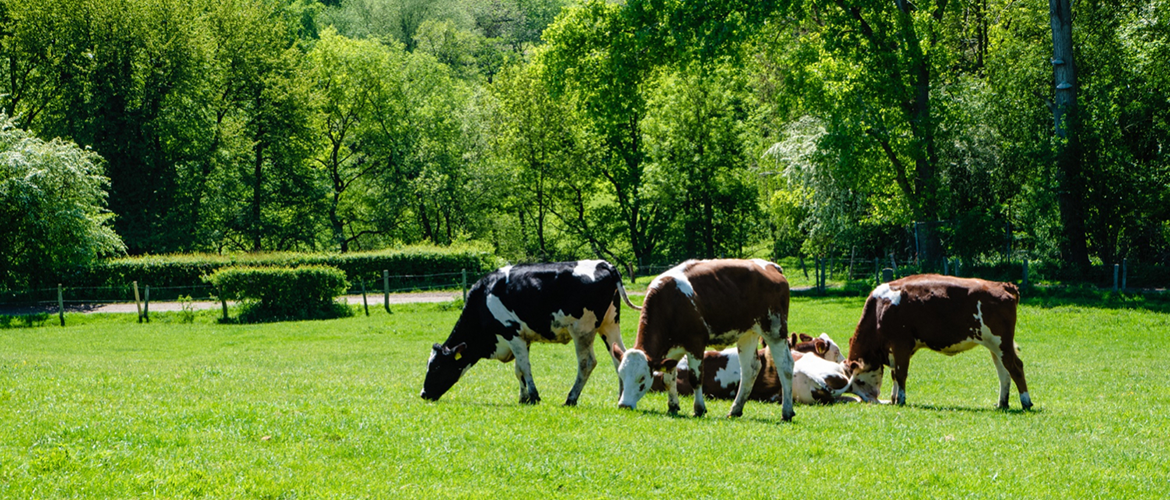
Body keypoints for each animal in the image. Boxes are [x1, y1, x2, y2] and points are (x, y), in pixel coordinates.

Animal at [420, 260, 640, 406]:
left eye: (437, 366)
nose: (423, 393)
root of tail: (604, 264)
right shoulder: (522, 339)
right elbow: (518, 370)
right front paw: (523, 397)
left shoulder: (511, 333)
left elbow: (525, 367)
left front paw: (534, 396)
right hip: (609, 325)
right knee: (619, 356)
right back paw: (620, 396)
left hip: (582, 330)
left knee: (587, 364)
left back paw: (571, 398)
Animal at [611, 259, 795, 421]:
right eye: (621, 375)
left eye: (642, 379)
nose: (624, 405)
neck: (671, 302)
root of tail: (770, 266)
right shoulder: (671, 350)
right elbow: (667, 379)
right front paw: (673, 406)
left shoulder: (696, 344)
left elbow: (696, 378)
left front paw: (699, 408)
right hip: (747, 333)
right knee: (750, 369)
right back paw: (735, 409)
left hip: (775, 329)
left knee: (785, 366)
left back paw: (786, 411)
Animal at [844, 274, 1032, 410]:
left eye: (859, 381)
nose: (868, 401)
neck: (880, 308)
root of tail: (1002, 285)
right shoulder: (894, 351)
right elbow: (894, 375)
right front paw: (894, 398)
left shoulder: (901, 344)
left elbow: (900, 373)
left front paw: (901, 400)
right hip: (994, 346)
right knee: (1003, 372)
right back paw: (1002, 403)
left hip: (1001, 343)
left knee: (1016, 367)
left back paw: (1025, 402)